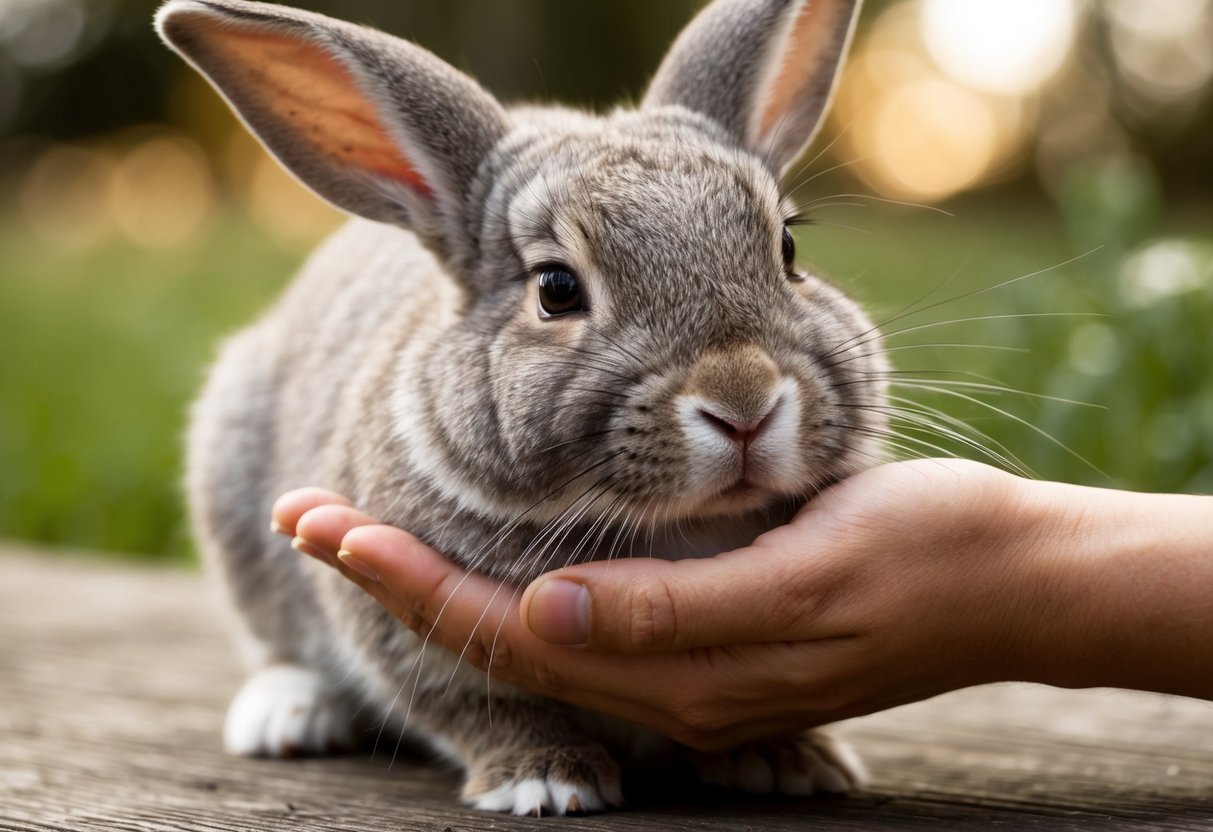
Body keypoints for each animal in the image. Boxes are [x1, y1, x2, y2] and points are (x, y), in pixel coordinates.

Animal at [157, 0, 889, 816]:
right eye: (556, 289)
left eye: (788, 249)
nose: (743, 403)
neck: (682, 528)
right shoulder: (406, 636)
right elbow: (480, 707)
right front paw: (544, 781)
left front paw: (791, 761)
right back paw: (287, 716)